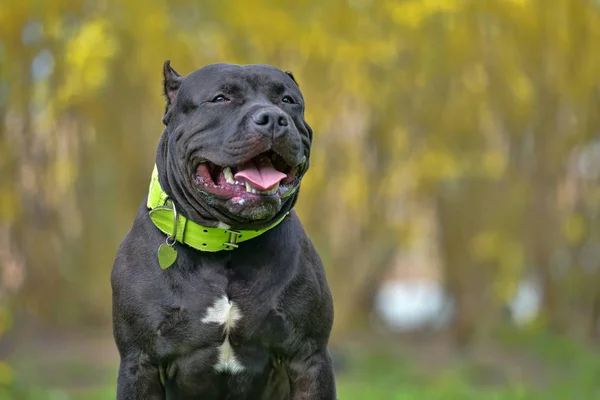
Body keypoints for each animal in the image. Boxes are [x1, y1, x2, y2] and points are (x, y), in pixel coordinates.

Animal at [111, 62, 338, 400]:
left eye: (287, 100)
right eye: (220, 99)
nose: (273, 118)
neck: (225, 243)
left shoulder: (309, 357)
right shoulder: (140, 363)